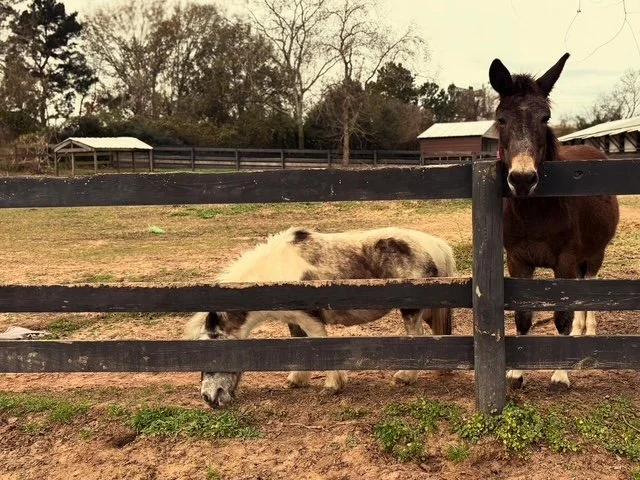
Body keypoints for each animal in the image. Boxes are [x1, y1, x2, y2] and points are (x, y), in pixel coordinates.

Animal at [184, 226, 457, 408]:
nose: (208, 397)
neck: (278, 271)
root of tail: (435, 244)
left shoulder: (310, 320)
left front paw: (331, 386)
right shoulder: (294, 321)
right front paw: (297, 379)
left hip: (412, 312)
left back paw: (405, 377)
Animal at [489, 53, 620, 388]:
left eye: (545, 118)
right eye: (501, 119)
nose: (522, 179)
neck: (537, 213)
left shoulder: (566, 261)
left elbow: (563, 315)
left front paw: (561, 373)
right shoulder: (518, 261)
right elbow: (523, 316)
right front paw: (516, 373)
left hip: (594, 255)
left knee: (586, 293)